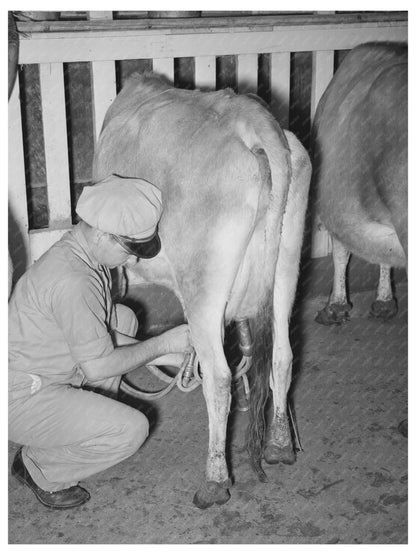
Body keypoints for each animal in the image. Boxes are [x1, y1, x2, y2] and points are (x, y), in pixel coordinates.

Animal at [92, 73, 310, 508]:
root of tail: (252, 121)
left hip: (204, 284)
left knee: (219, 377)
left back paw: (214, 481)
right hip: (286, 262)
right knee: (282, 354)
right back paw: (279, 445)